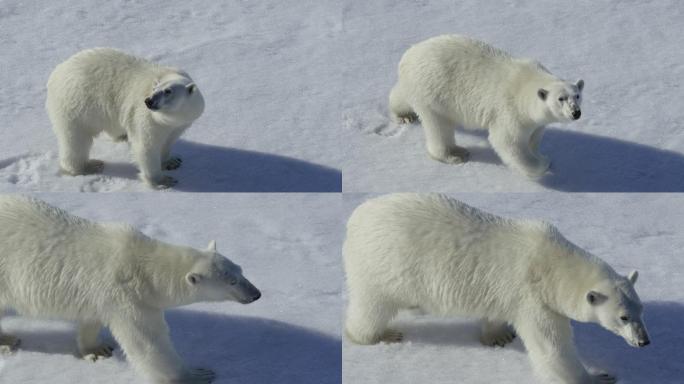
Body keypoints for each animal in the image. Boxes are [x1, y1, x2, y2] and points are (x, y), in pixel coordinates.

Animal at [0, 196, 260, 382]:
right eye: (231, 281)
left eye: (241, 270)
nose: (256, 294)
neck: (142, 266)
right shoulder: (127, 296)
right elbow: (148, 343)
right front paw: (196, 375)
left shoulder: (99, 293)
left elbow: (91, 317)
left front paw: (97, 349)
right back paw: (7, 341)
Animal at [47, 48, 204, 189]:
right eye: (155, 88)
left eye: (168, 91)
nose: (149, 101)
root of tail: (56, 73)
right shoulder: (146, 118)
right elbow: (146, 146)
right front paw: (162, 181)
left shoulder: (180, 124)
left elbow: (168, 141)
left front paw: (171, 162)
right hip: (76, 106)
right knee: (76, 140)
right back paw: (88, 166)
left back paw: (121, 136)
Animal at [344, 195, 648, 384]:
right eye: (623, 317)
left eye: (640, 309)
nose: (644, 342)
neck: (550, 263)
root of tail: (355, 218)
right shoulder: (533, 299)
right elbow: (552, 349)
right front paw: (599, 376)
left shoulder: (510, 294)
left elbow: (498, 313)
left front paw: (499, 336)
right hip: (382, 266)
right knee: (372, 307)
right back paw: (381, 334)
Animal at [390, 35, 584, 178]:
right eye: (561, 98)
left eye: (577, 95)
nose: (576, 112)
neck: (528, 84)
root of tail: (407, 57)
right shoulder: (511, 111)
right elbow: (507, 141)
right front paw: (543, 163)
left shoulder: (535, 122)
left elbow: (534, 137)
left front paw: (539, 154)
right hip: (434, 92)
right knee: (439, 126)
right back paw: (455, 154)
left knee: (402, 95)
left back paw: (404, 114)